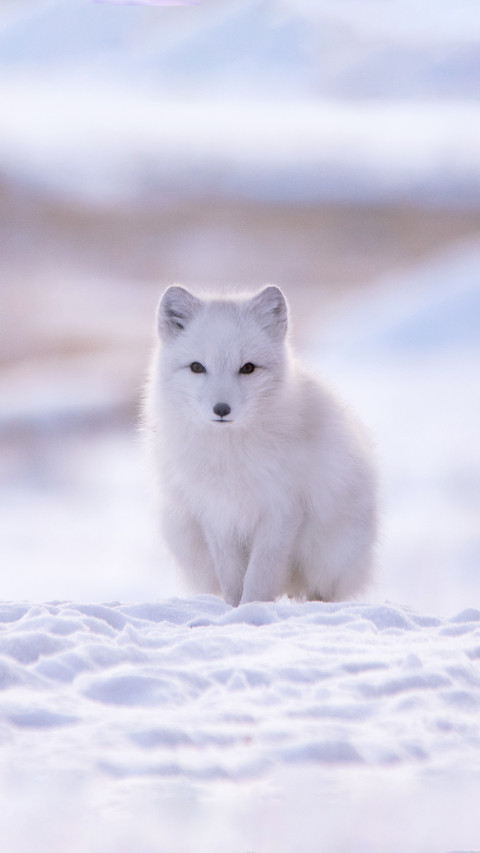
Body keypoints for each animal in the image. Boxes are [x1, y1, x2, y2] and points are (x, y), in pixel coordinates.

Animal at [144, 285, 376, 607]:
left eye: (248, 368)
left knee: (320, 592)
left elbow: (260, 575)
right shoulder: (217, 513)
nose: (221, 409)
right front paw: (233, 610)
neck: (229, 454)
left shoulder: (281, 511)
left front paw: (252, 609)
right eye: (197, 367)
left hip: (330, 553)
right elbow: (232, 577)